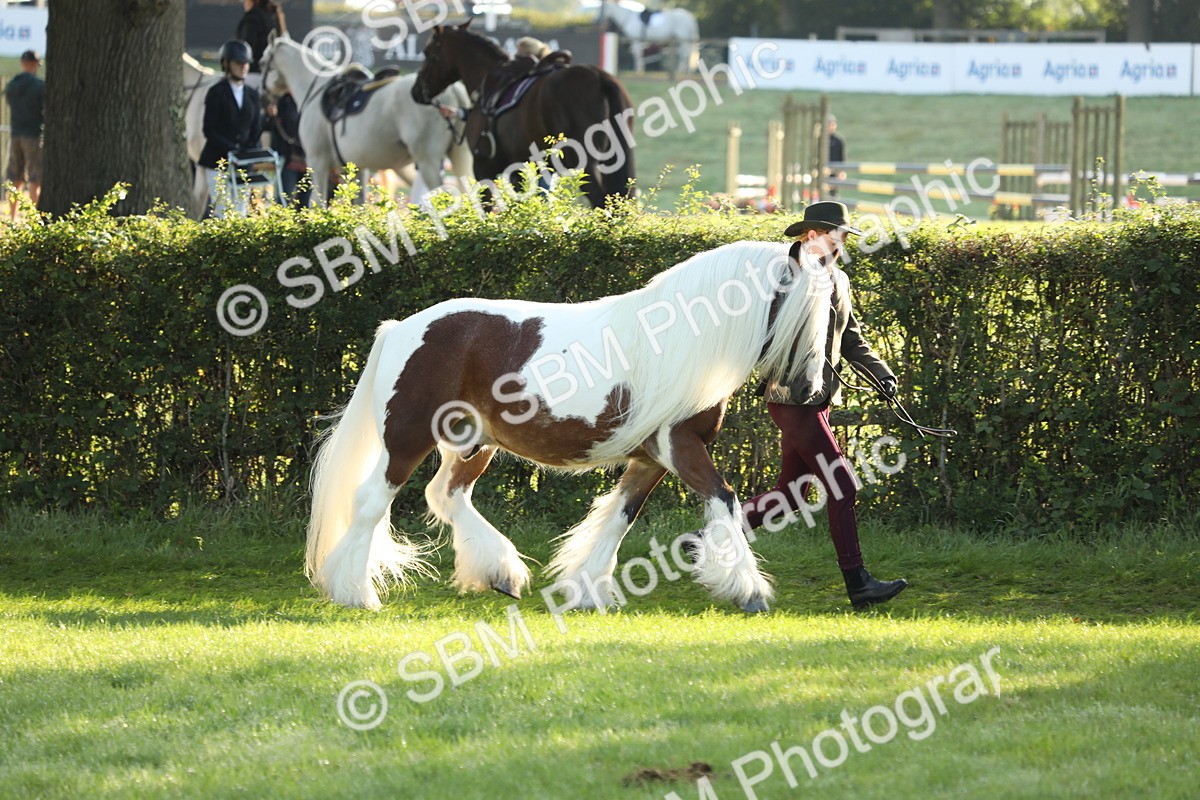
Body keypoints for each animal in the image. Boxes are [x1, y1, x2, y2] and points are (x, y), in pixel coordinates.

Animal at [260, 34, 473, 204]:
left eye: (262, 63)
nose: (264, 98)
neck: (317, 91)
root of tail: (452, 90)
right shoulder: (356, 167)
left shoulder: (318, 161)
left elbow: (319, 204)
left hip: (427, 161)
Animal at [305, 240, 835, 615]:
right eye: (801, 311)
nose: (812, 392)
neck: (679, 341)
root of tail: (400, 328)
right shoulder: (679, 446)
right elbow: (724, 499)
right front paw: (748, 590)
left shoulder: (650, 458)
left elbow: (621, 516)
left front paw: (587, 590)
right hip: (407, 439)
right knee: (372, 502)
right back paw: (355, 592)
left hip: (475, 443)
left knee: (447, 495)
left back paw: (500, 573)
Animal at [410, 20, 635, 209]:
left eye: (427, 52)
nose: (416, 91)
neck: (488, 80)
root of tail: (600, 77)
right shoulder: (521, 170)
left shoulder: (484, 166)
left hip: (584, 163)